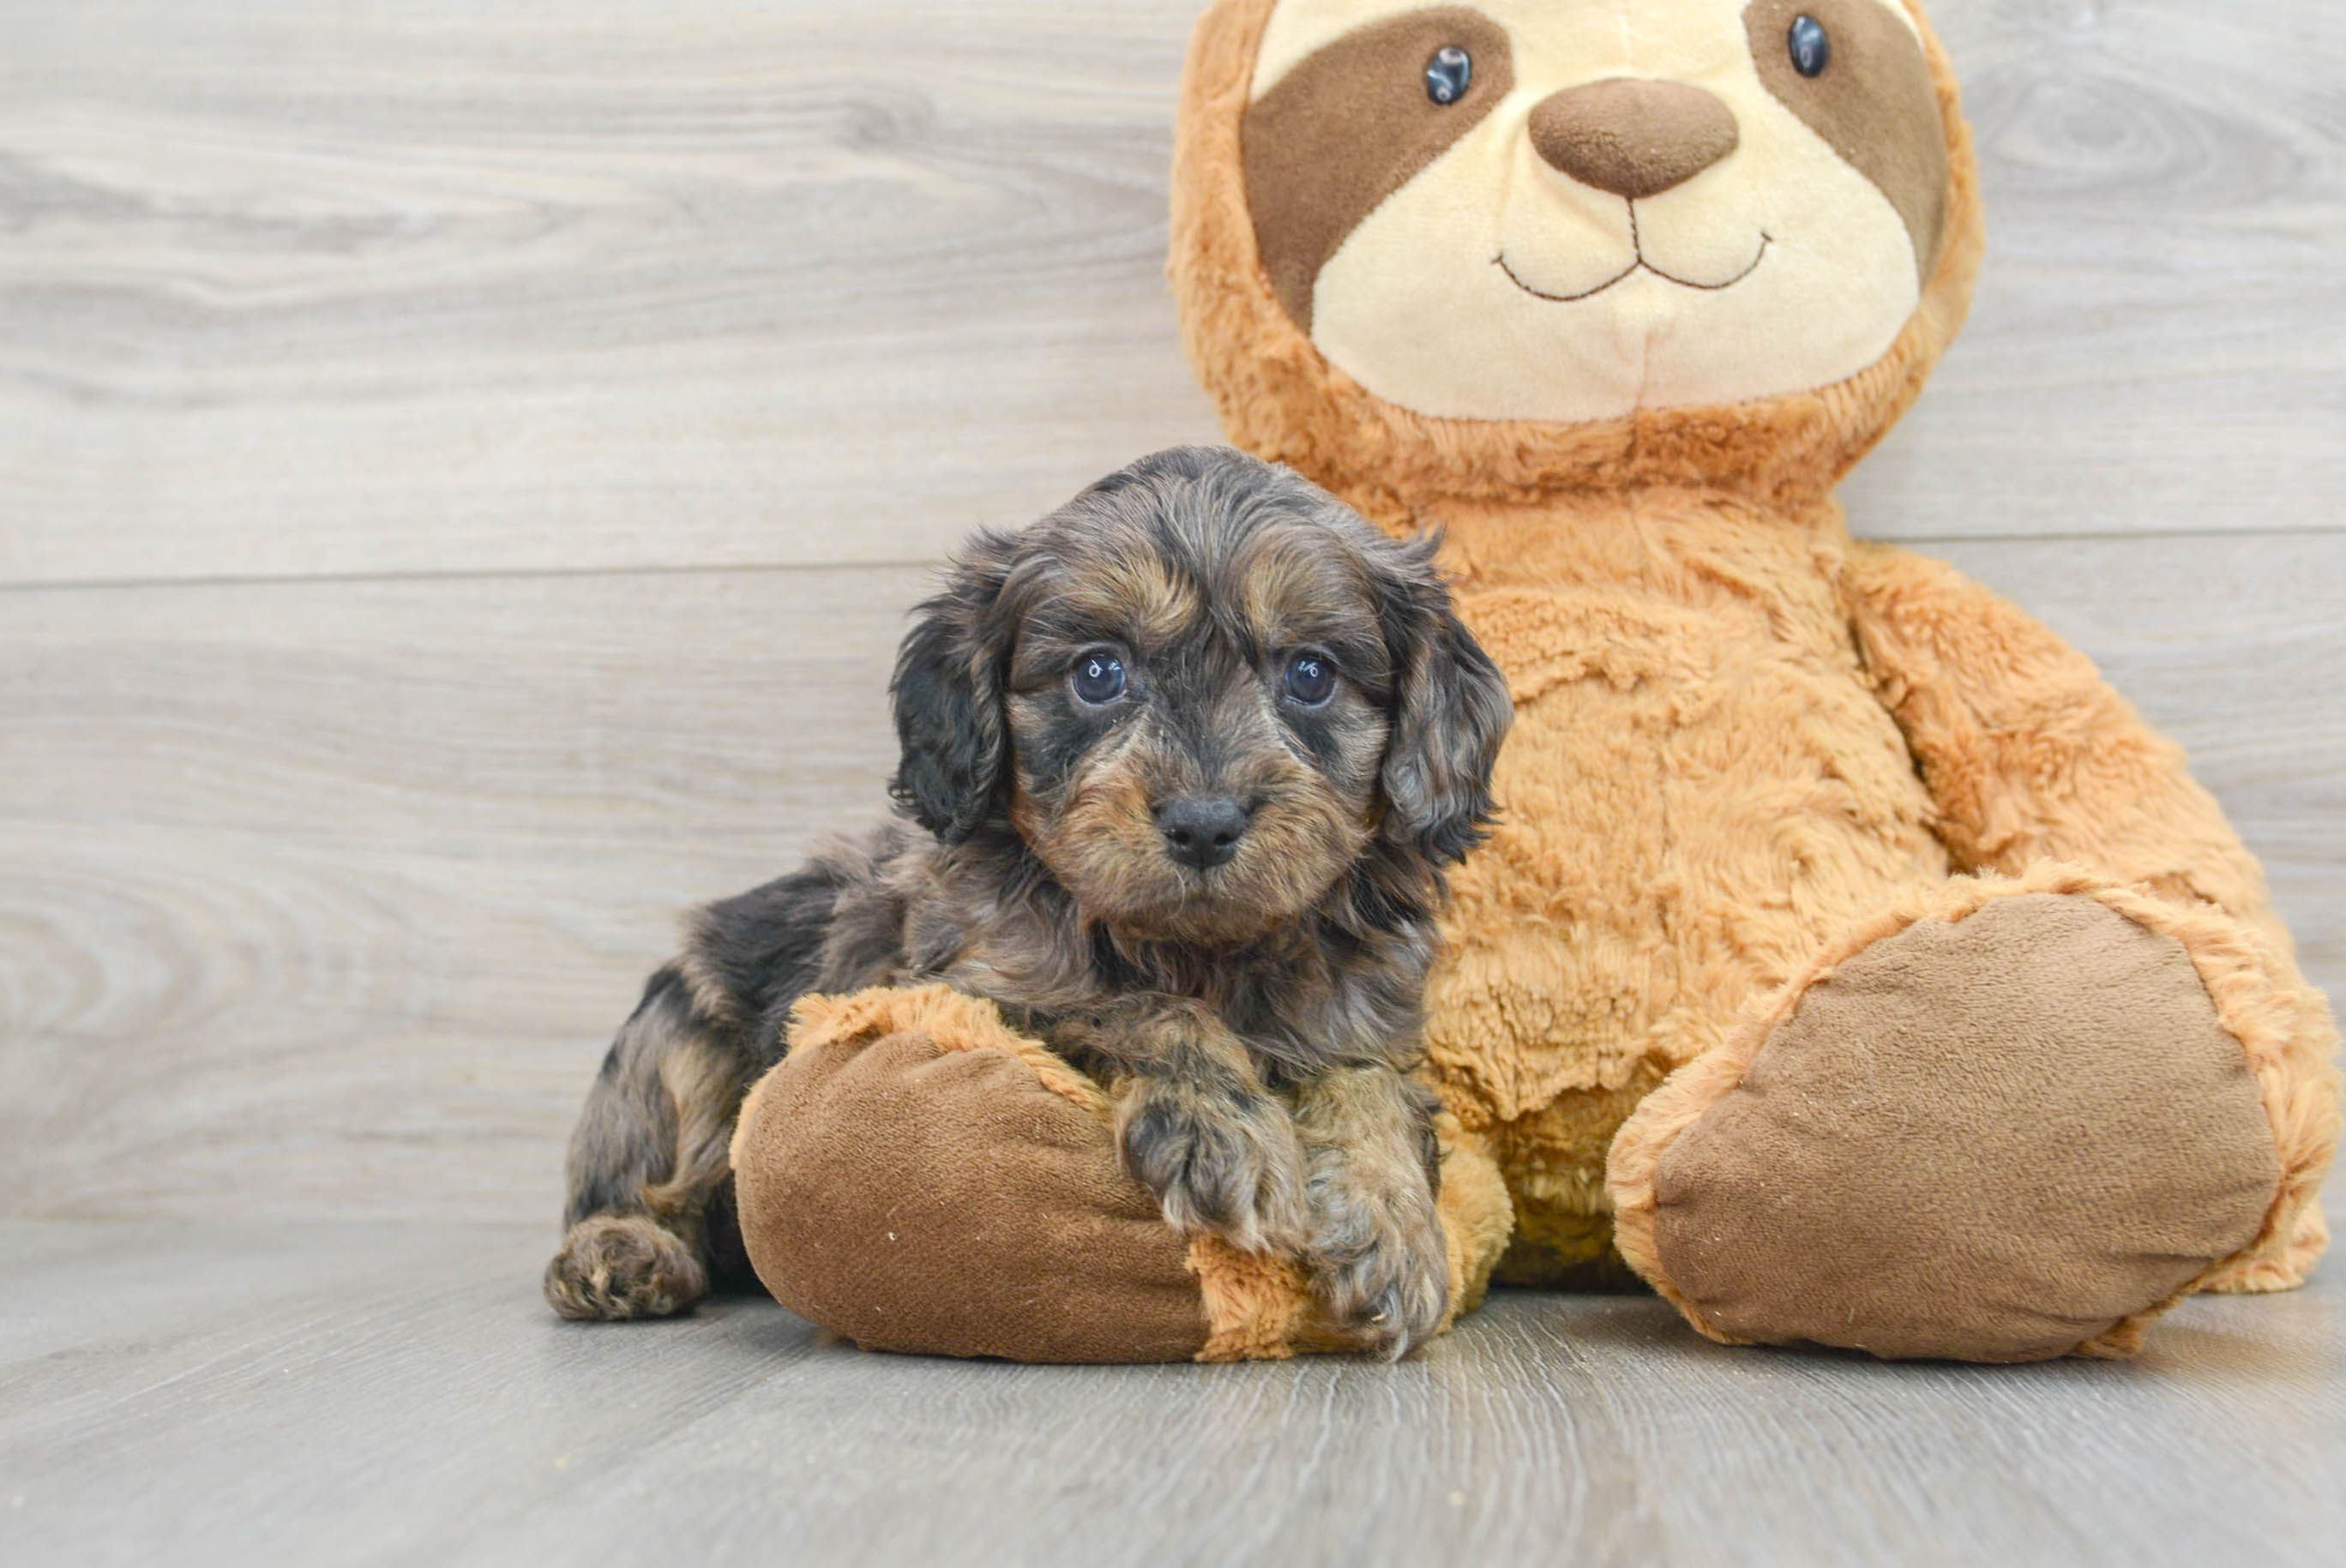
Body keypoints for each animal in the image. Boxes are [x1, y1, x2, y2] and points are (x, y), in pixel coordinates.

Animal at [542, 446, 1510, 1352]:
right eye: (1098, 672)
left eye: (1311, 674)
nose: (1204, 824)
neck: (1201, 949)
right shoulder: (976, 982)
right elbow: (1136, 1005)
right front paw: (1220, 1125)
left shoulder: (1367, 1016)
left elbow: (1368, 1081)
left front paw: (1390, 1222)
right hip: (678, 1042)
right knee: (641, 1176)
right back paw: (619, 1250)